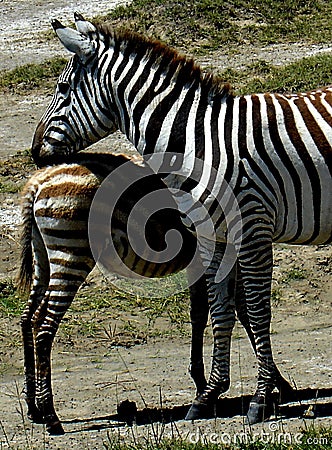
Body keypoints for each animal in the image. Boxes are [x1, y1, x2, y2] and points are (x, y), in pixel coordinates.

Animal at [31, 13, 332, 428]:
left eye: (62, 89)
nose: (33, 151)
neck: (199, 144)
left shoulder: (251, 228)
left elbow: (253, 310)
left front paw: (257, 396)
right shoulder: (215, 237)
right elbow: (222, 309)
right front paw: (213, 394)